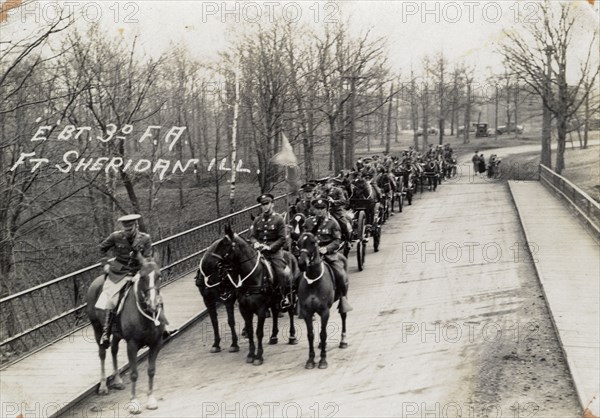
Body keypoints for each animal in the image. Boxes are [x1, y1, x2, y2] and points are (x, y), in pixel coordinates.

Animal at [85, 256, 165, 414]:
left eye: (159, 276)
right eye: (143, 277)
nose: (153, 304)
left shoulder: (156, 344)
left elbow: (151, 371)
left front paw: (151, 399)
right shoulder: (132, 345)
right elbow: (134, 373)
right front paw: (134, 402)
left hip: (117, 334)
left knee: (114, 350)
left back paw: (117, 380)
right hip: (97, 329)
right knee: (102, 353)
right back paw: (103, 386)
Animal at [296, 232, 346, 370]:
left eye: (313, 242)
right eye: (298, 242)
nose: (302, 263)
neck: (313, 281)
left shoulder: (325, 311)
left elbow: (323, 333)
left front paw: (323, 360)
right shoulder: (307, 312)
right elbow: (310, 335)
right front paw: (310, 360)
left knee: (343, 315)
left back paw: (343, 341)